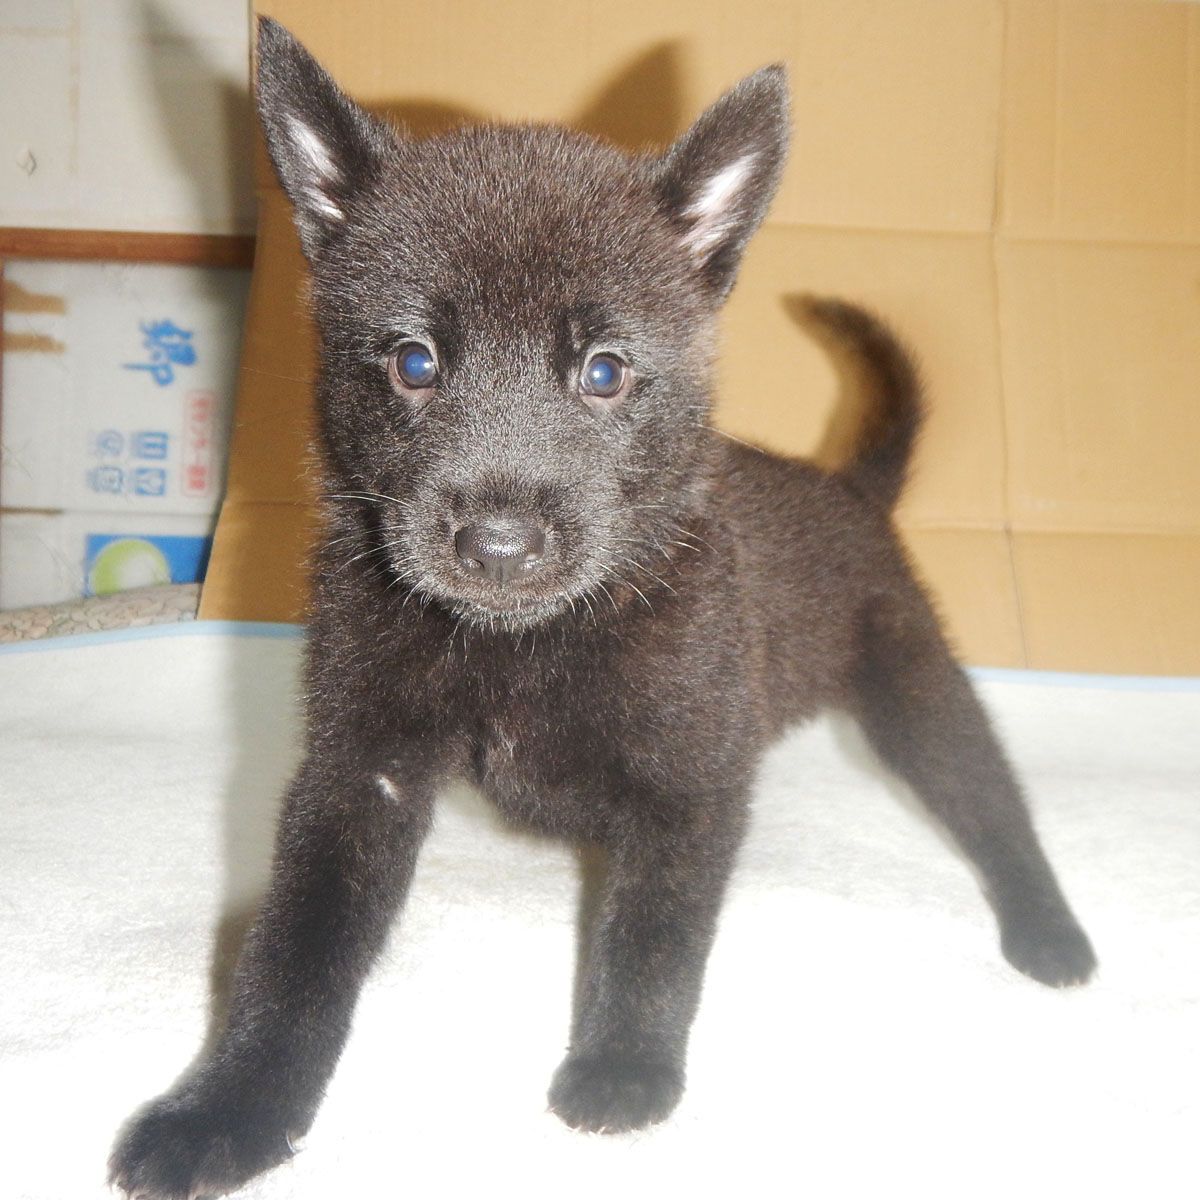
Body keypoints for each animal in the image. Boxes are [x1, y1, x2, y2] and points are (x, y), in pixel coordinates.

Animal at [111, 17, 1096, 1198]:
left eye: (605, 371)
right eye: (413, 361)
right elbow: (293, 958)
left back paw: (1049, 930)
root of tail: (848, 488)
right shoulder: (359, 774)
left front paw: (625, 1072)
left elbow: (655, 940)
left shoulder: (691, 789)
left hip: (914, 690)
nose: (496, 545)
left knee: (988, 797)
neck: (523, 644)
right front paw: (227, 1112)